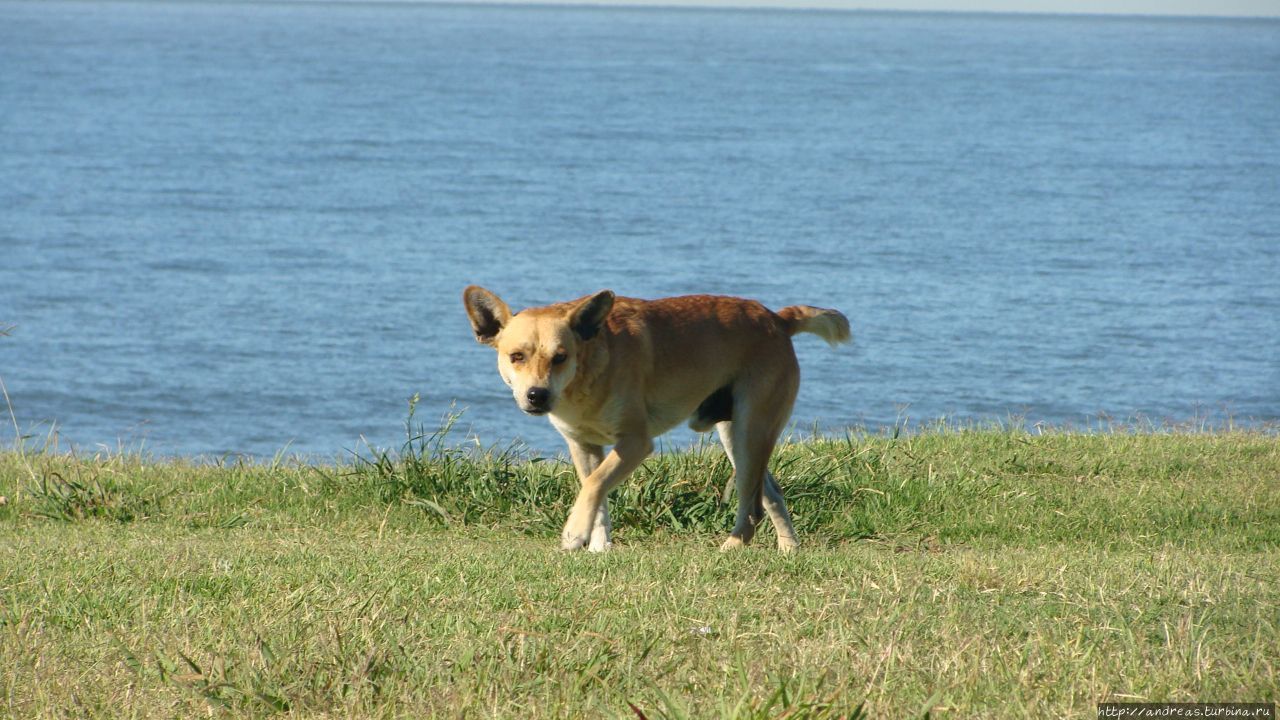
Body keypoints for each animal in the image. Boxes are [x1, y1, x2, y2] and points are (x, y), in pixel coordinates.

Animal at [460, 285, 849, 548]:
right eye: (516, 356)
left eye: (560, 357)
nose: (537, 395)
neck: (587, 375)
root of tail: (777, 319)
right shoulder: (583, 445)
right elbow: (596, 491)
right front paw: (598, 545)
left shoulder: (635, 443)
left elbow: (594, 485)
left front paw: (574, 533)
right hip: (737, 436)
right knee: (771, 494)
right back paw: (788, 549)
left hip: (751, 430)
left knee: (752, 506)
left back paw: (732, 547)